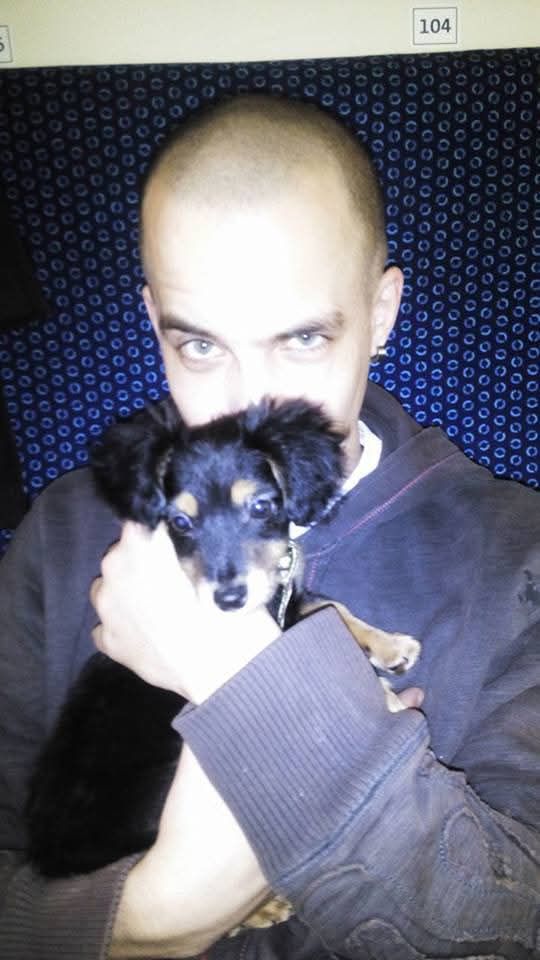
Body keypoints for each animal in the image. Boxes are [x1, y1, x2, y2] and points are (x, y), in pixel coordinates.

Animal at [25, 397, 420, 931]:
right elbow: (328, 621)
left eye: (261, 507)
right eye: (179, 522)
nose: (228, 599)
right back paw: (265, 907)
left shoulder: (287, 603)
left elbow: (330, 607)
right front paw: (382, 693)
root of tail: (52, 858)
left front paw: (390, 648)